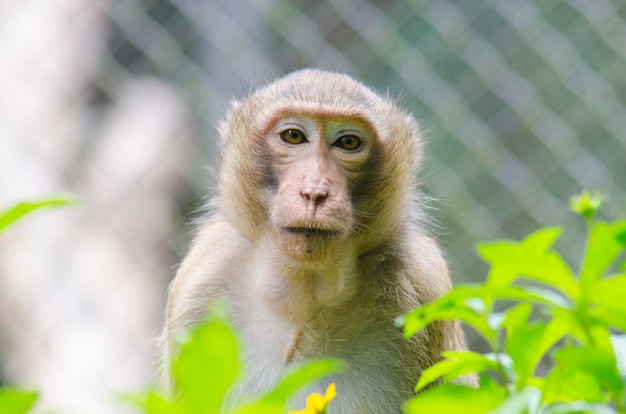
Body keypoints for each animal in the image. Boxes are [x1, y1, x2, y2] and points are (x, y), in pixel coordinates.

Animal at [162, 69, 472, 412]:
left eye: (348, 142)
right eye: (293, 137)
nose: (314, 191)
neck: (304, 298)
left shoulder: (422, 279)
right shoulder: (202, 278)